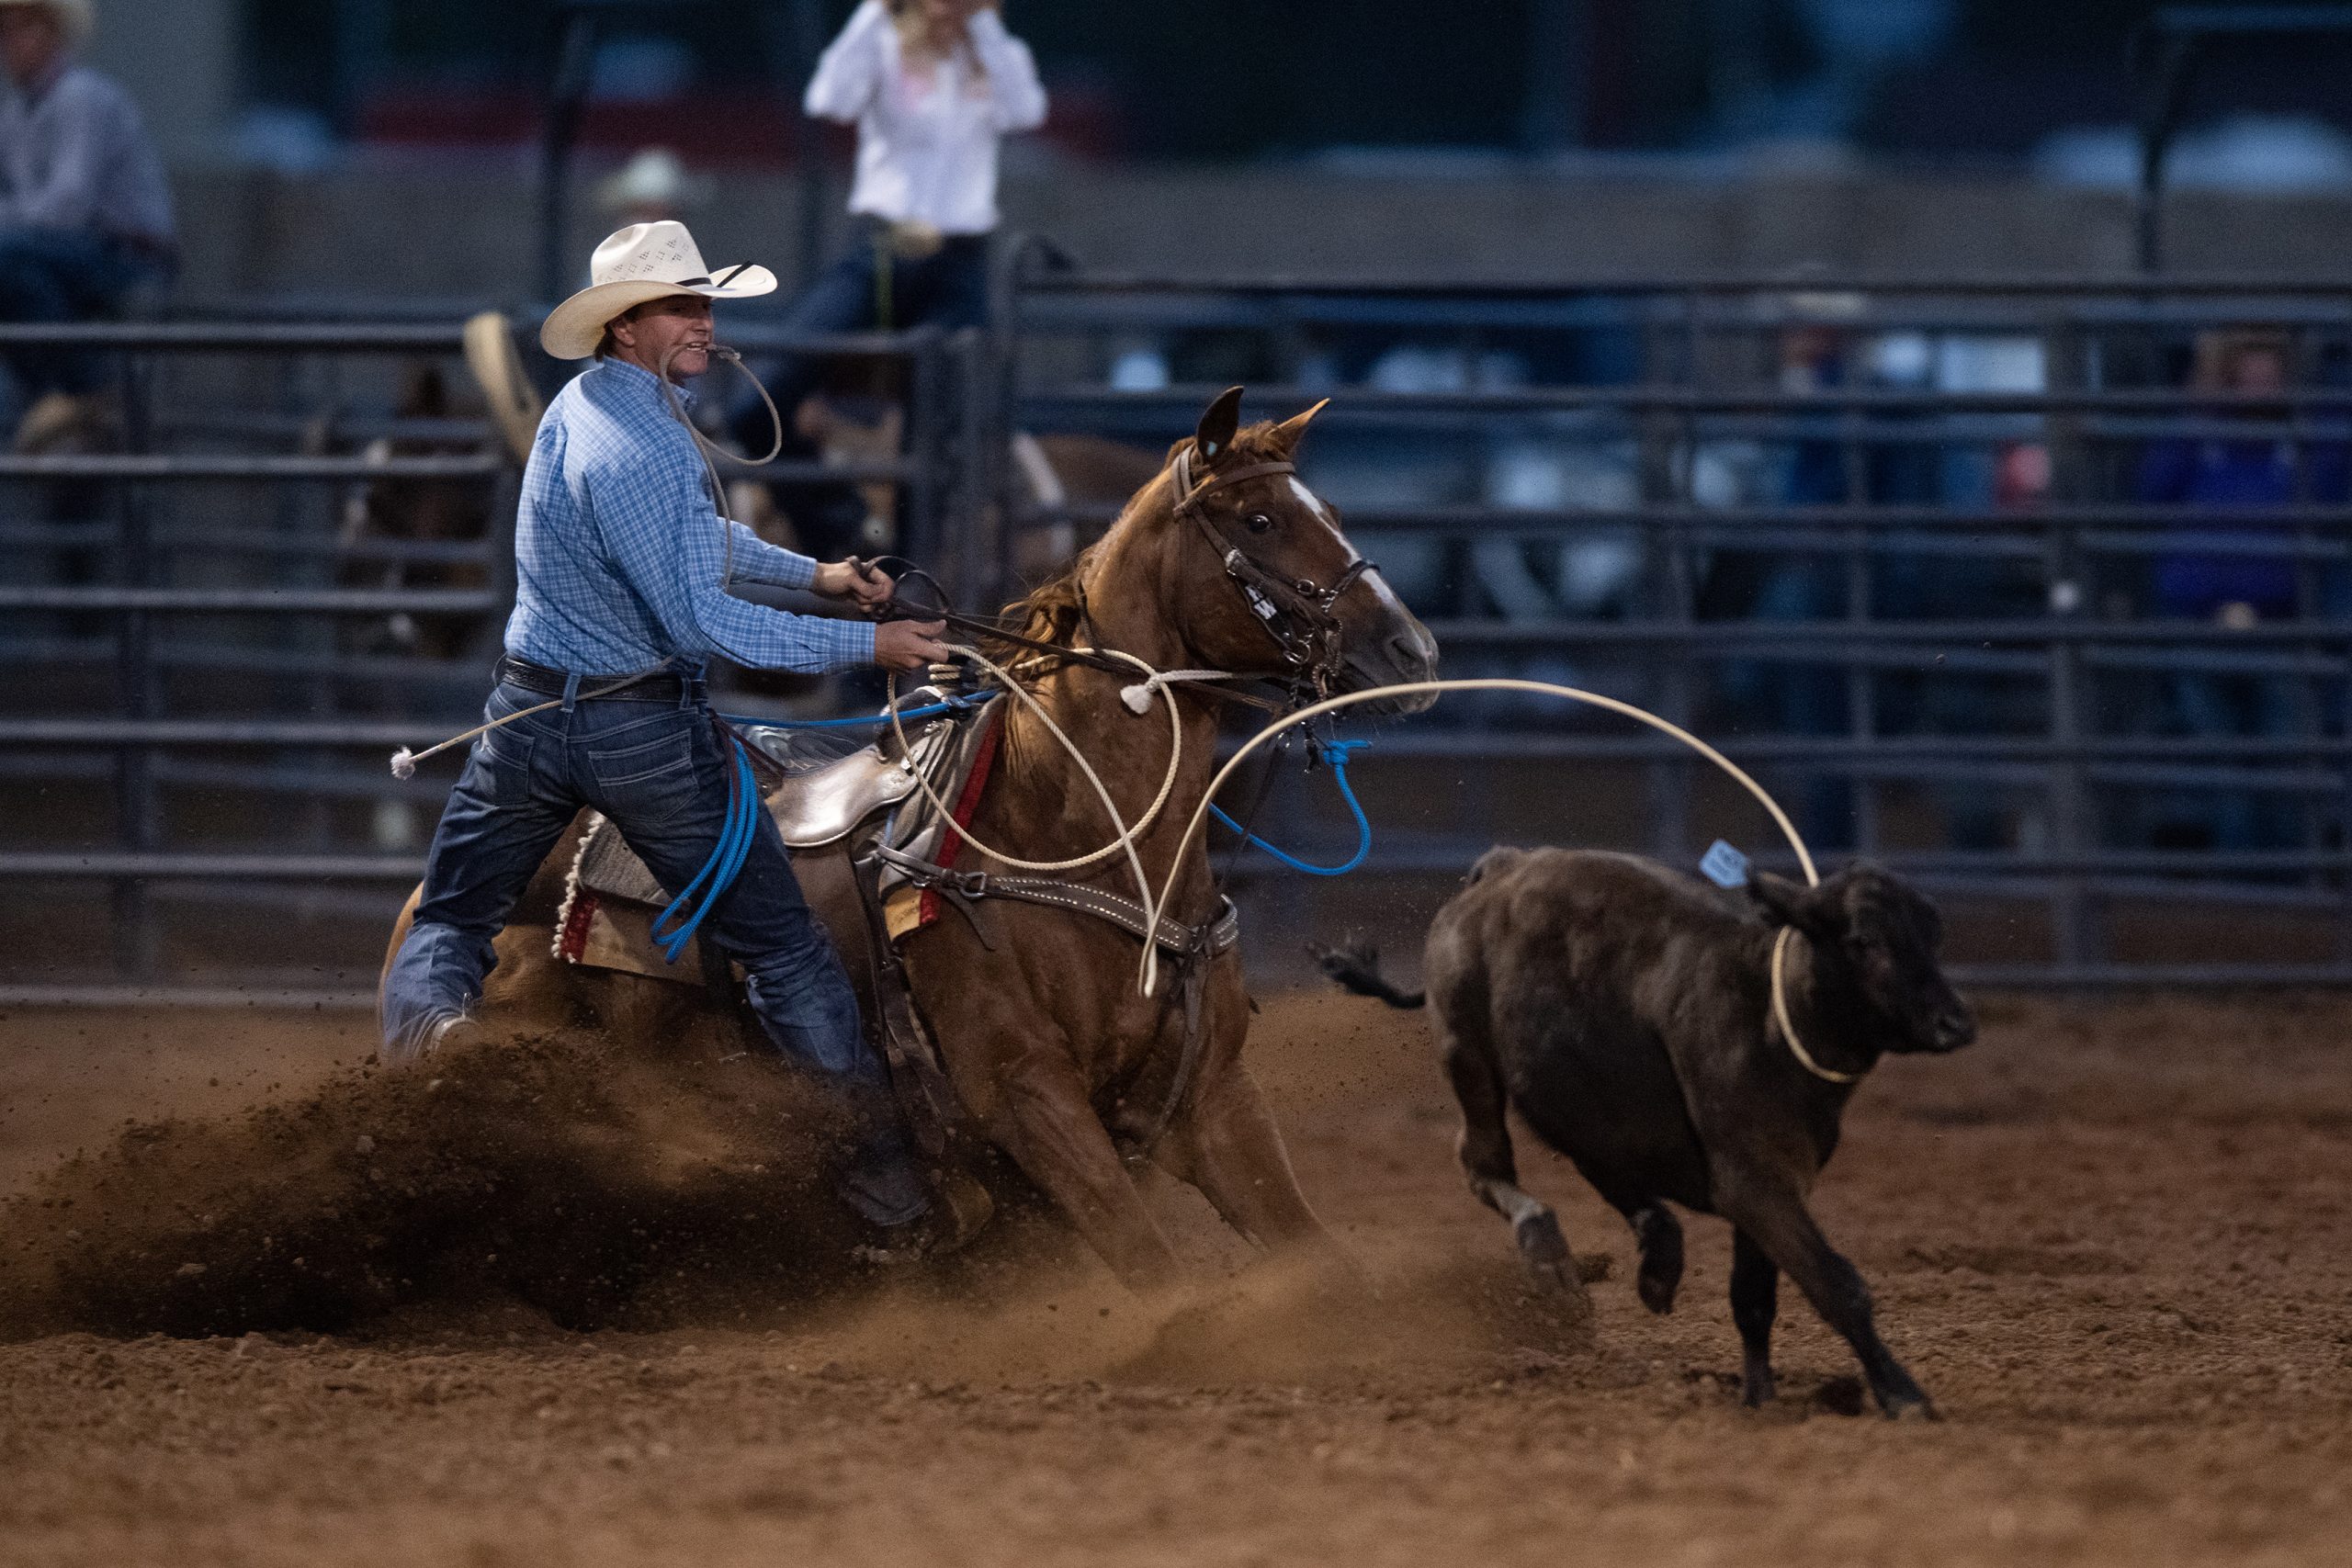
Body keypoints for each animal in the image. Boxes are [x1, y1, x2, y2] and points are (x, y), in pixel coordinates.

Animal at [383, 389, 1430, 1288]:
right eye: (1257, 522)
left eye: (1329, 508)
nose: (1409, 651)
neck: (1074, 832)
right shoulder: (1026, 1094)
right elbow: (1154, 1267)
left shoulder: (1214, 1099)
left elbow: (1331, 1269)